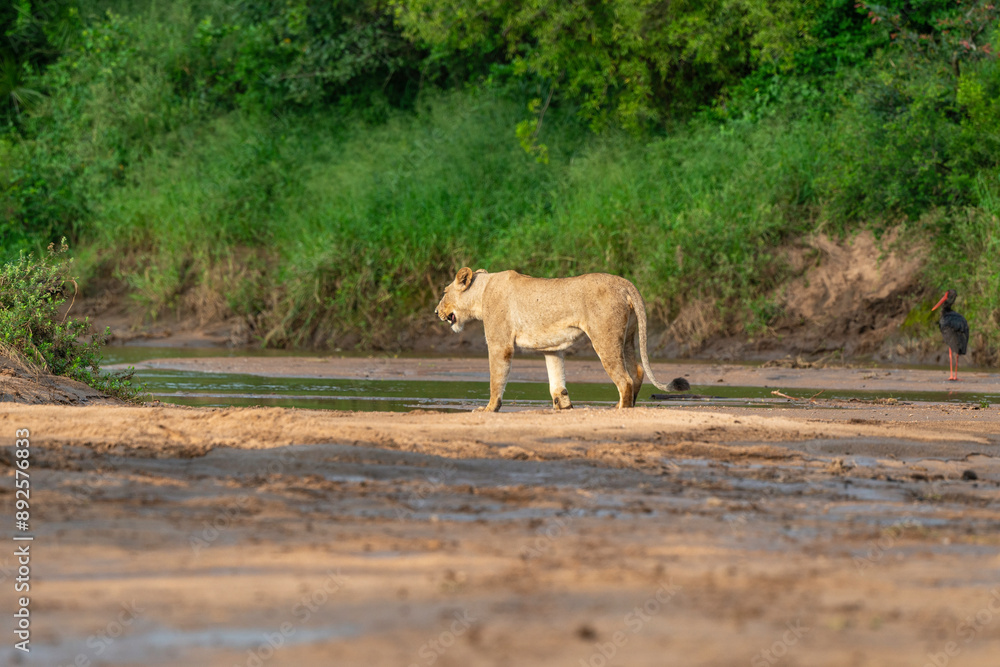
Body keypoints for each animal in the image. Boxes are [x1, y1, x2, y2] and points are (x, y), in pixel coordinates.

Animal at [434, 267, 690, 412]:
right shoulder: (552, 346)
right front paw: (564, 405)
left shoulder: (500, 343)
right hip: (628, 337)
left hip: (604, 337)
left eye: (444, 292)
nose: (436, 312)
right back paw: (625, 405)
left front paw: (488, 408)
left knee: (624, 379)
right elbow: (556, 378)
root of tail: (625, 283)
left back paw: (621, 409)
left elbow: (496, 379)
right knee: (636, 370)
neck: (482, 293)